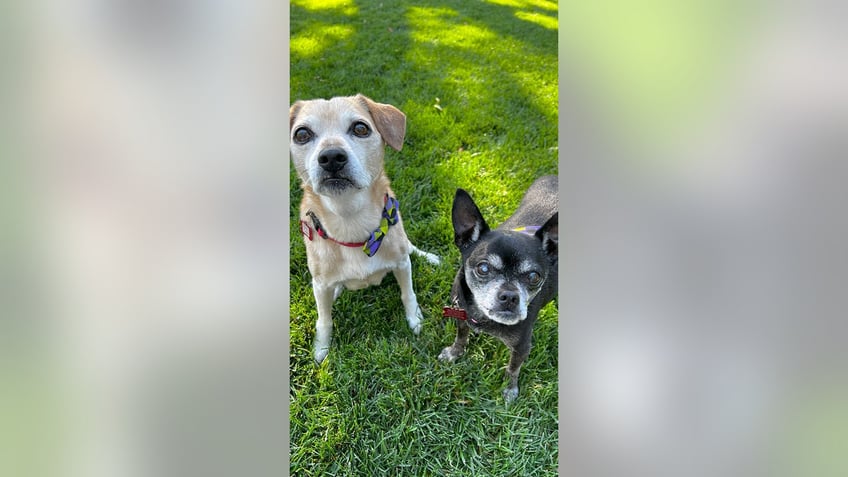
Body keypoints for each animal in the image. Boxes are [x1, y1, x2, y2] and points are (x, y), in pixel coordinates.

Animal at [290, 94, 440, 360]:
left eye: (360, 128)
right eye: (302, 134)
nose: (331, 157)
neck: (349, 219)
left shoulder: (402, 264)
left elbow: (408, 293)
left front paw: (415, 319)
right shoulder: (320, 284)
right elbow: (324, 319)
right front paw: (321, 348)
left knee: (411, 247)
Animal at [438, 177, 556, 400]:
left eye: (534, 277)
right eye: (483, 268)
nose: (510, 296)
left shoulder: (522, 347)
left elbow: (513, 368)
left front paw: (510, 390)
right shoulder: (461, 316)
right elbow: (461, 336)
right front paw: (454, 353)